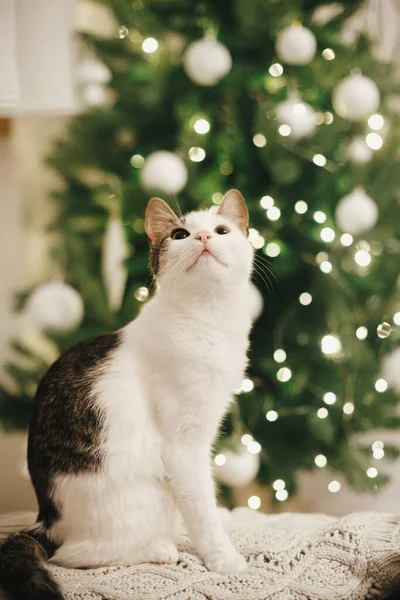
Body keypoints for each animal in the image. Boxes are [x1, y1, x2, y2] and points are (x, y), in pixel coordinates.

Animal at [0, 189, 253, 600]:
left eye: (221, 230)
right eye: (180, 234)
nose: (203, 238)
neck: (208, 318)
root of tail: (47, 521)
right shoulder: (183, 448)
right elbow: (203, 509)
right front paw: (224, 559)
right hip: (144, 496)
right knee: (73, 555)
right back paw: (157, 548)